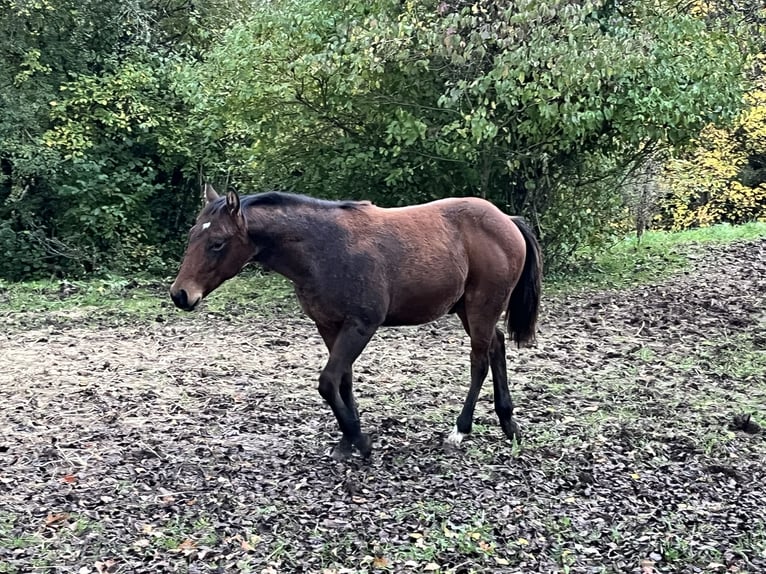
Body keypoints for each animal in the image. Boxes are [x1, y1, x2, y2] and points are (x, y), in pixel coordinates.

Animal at [171, 187, 544, 462]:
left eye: (217, 242)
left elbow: (327, 381)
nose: (180, 294)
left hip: (482, 307)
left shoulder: (361, 325)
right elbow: (343, 381)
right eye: (191, 235)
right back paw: (508, 422)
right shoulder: (329, 325)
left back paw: (460, 430)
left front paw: (359, 441)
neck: (322, 248)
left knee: (479, 360)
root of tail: (506, 219)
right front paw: (347, 442)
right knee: (496, 346)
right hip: (469, 309)